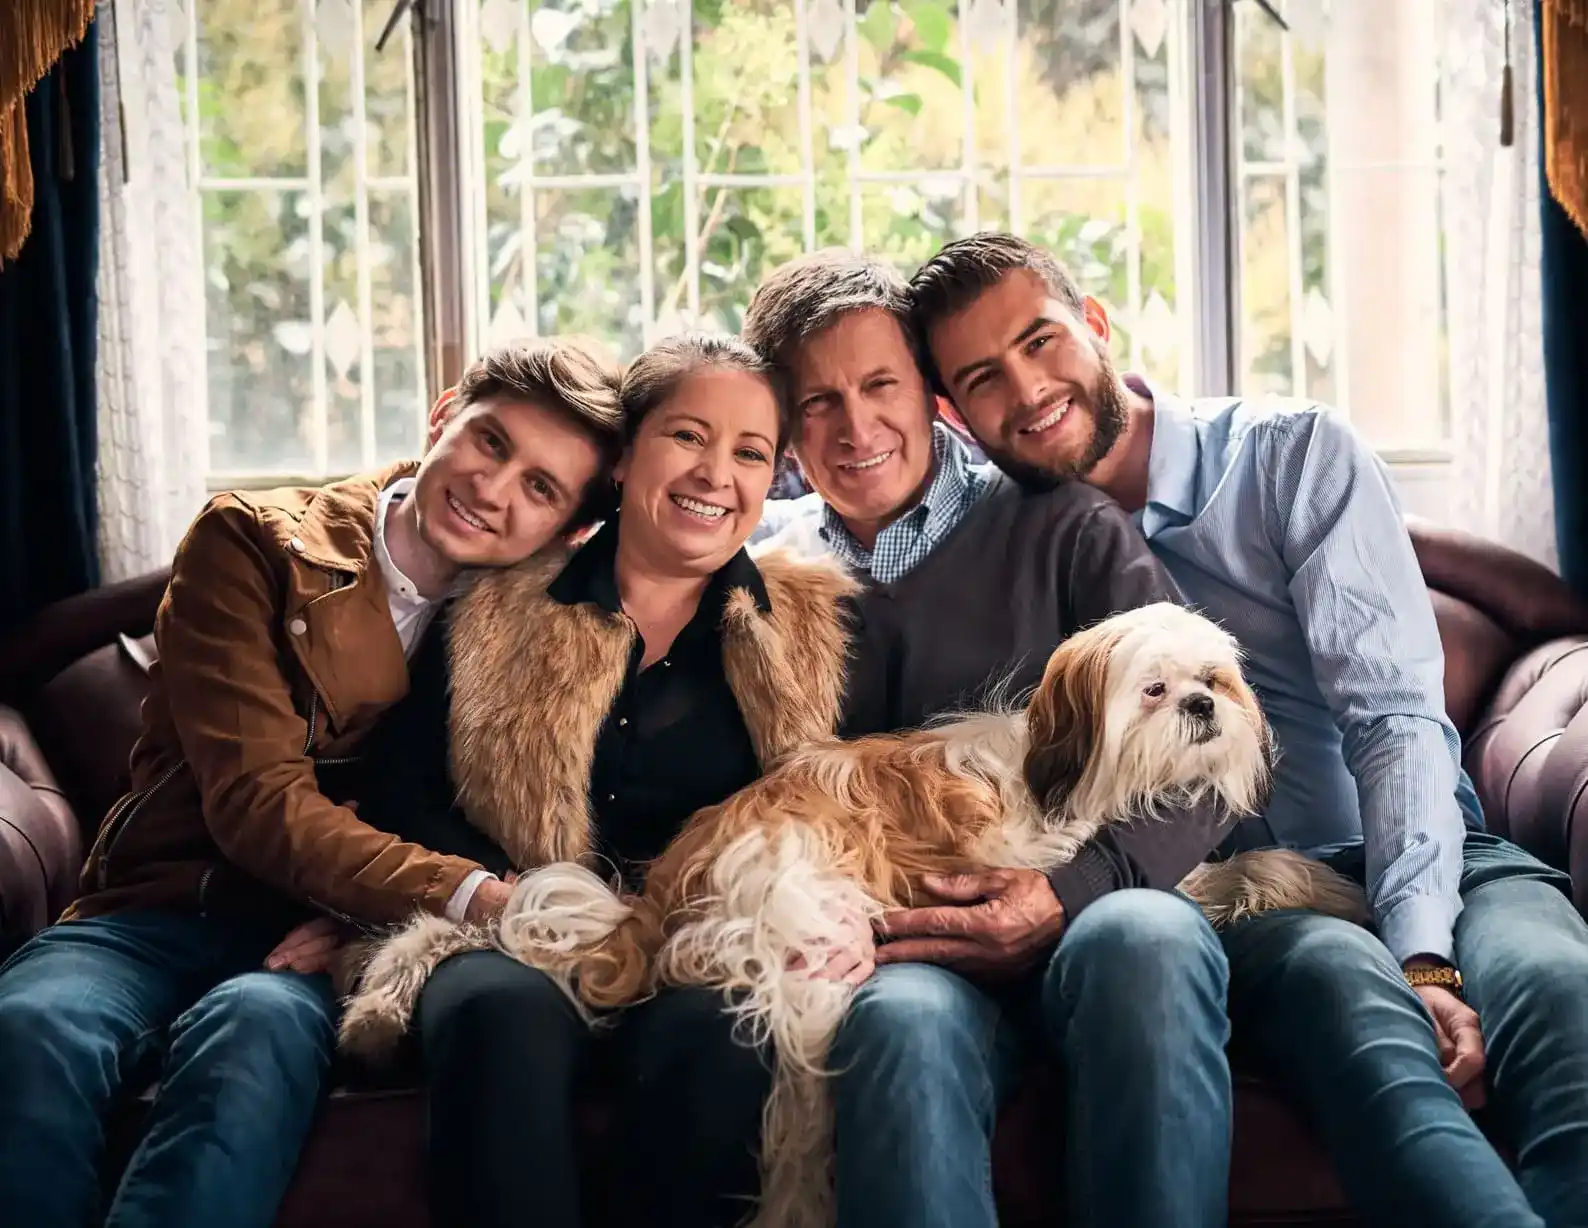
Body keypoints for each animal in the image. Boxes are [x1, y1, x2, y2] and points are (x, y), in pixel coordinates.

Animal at [344, 603, 1365, 1226]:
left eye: (1213, 680)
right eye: (1152, 689)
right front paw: (1319, 885)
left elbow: (1234, 865)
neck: (1060, 770)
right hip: (815, 958)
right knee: (796, 1118)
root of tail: (659, 899)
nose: (1201, 706)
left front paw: (1324, 887)